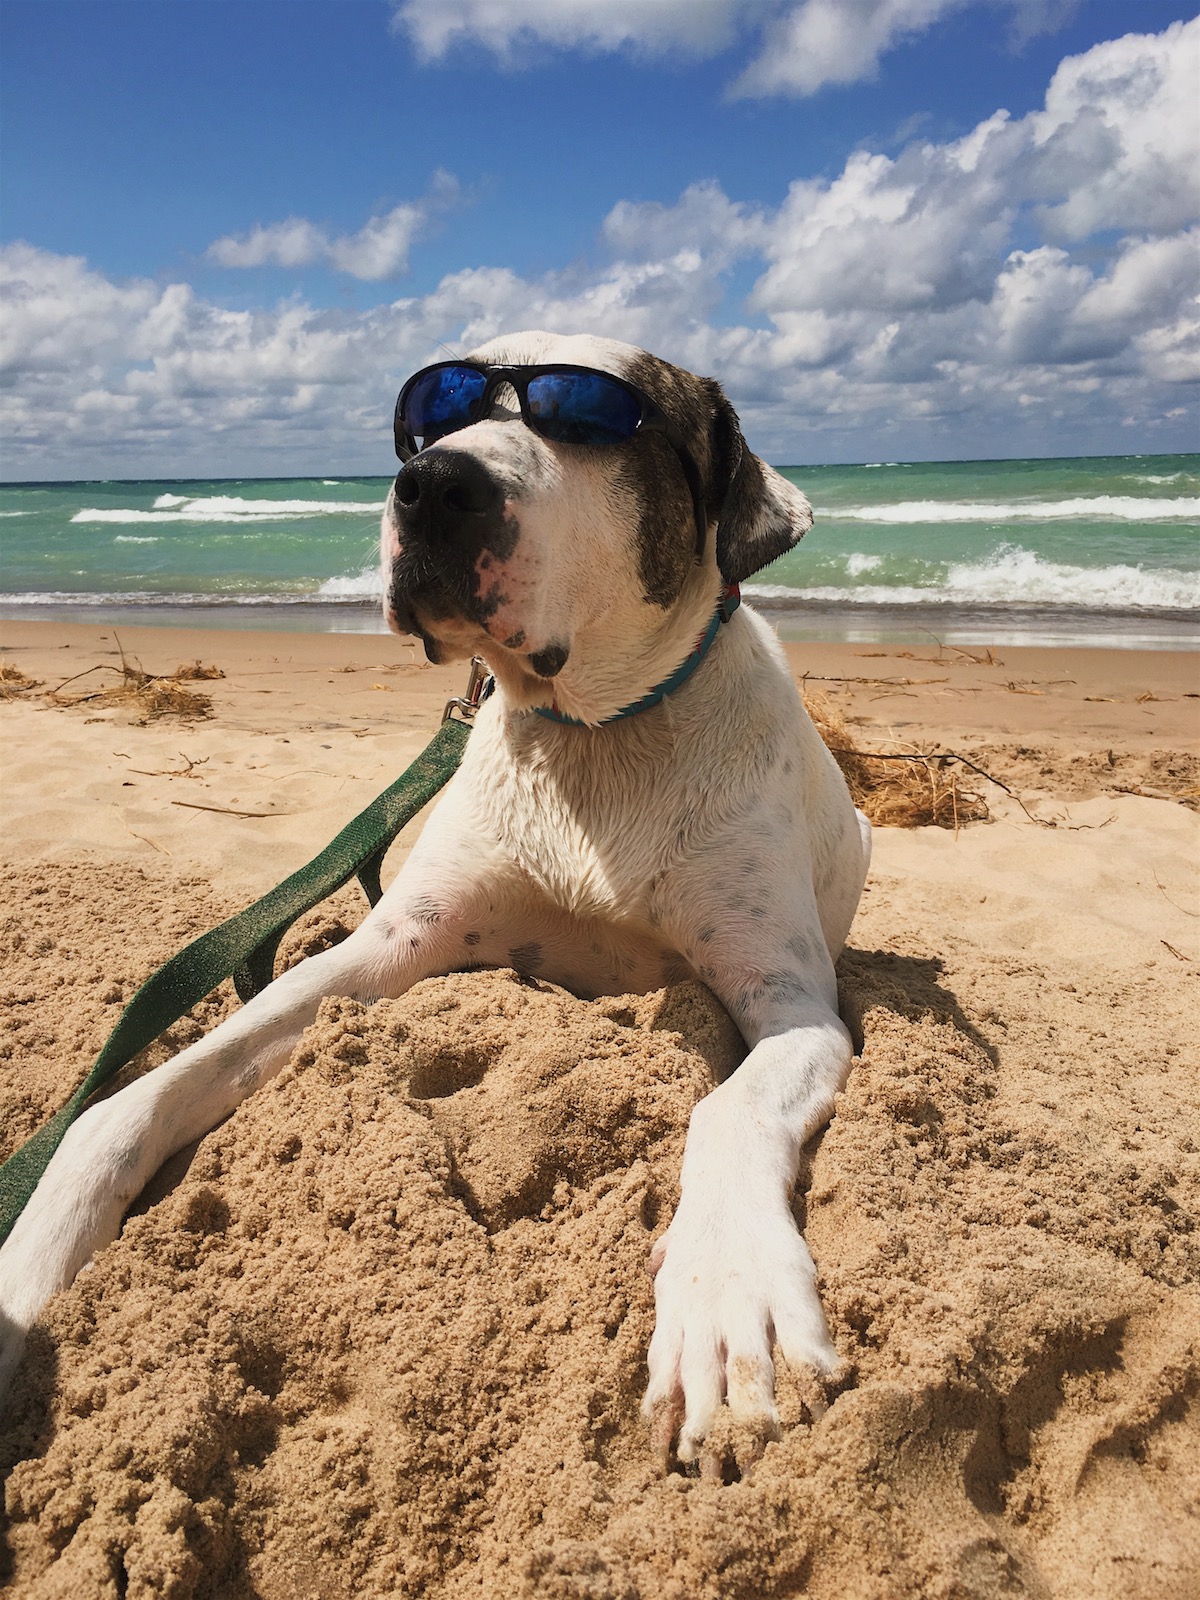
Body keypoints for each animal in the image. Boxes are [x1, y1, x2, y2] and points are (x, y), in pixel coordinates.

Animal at [0, 334, 876, 1472]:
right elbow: (150, 1087)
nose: (431, 485)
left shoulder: (792, 1003)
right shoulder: (388, 946)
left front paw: (728, 1298)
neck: (592, 742)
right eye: (437, 414)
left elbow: (727, 1105)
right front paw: (40, 1236)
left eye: (593, 418)